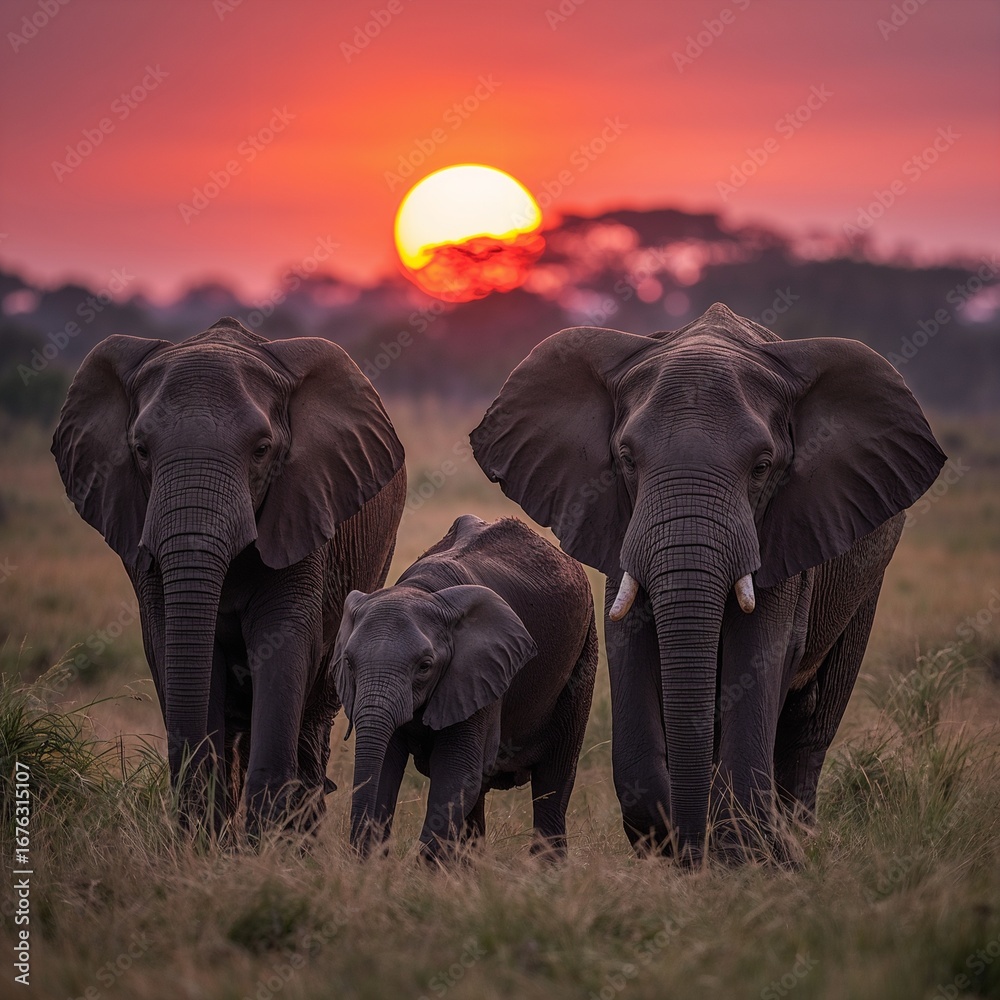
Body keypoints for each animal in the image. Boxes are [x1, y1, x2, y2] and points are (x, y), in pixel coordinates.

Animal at [52, 317, 406, 833]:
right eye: (140, 450)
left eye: (262, 450)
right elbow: (173, 641)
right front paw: (206, 840)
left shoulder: (303, 509)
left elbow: (283, 641)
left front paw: (264, 844)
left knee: (311, 720)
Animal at [333, 514, 597, 860]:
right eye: (349, 663)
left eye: (425, 666)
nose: (363, 858)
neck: (424, 591)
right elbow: (388, 763)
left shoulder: (482, 671)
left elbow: (456, 772)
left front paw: (422, 870)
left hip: (583, 652)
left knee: (555, 777)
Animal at [471, 303, 946, 862]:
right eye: (626, 459)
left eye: (762, 467)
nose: (689, 851)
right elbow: (630, 643)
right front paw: (673, 847)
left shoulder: (785, 529)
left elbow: (762, 653)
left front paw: (740, 859)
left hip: (866, 574)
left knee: (811, 723)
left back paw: (795, 844)